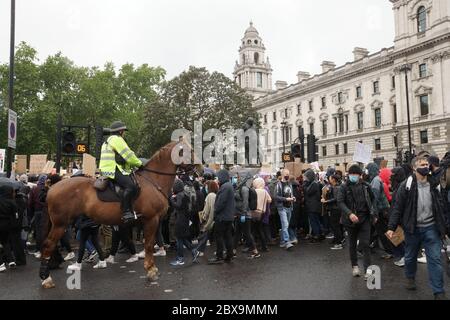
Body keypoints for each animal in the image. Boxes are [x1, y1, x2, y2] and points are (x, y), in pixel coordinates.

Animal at [39, 141, 201, 288]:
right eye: (189, 150)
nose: (200, 166)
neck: (153, 180)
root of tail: (52, 188)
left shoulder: (150, 221)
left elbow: (149, 243)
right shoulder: (151, 219)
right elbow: (149, 245)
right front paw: (151, 270)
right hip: (60, 224)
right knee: (48, 245)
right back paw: (46, 278)